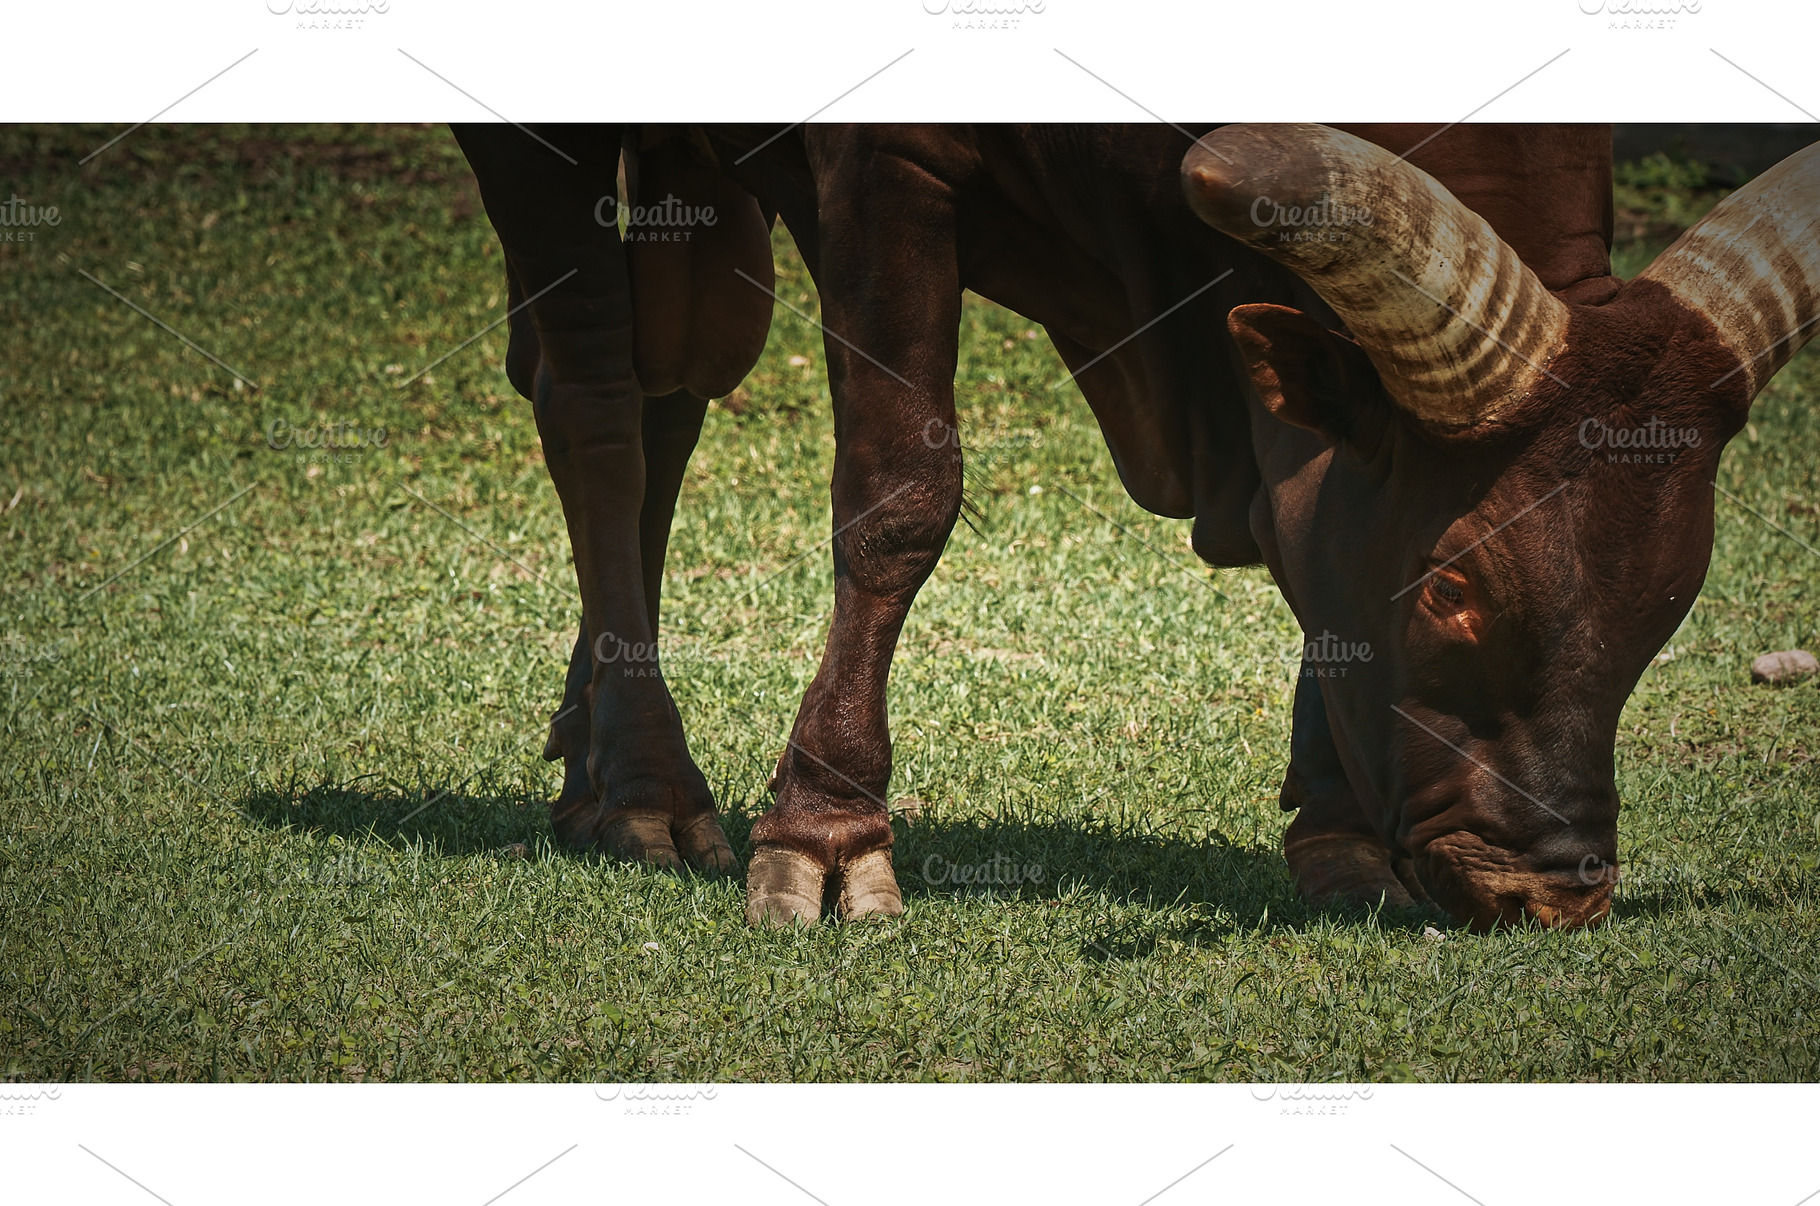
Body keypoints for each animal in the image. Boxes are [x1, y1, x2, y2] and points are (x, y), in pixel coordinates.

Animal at [454, 123, 1819, 930]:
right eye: (1449, 588)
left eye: (1673, 599)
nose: (1545, 886)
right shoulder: (883, 165)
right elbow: (899, 496)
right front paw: (826, 831)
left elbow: (1296, 519)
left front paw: (1333, 836)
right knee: (594, 395)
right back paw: (644, 787)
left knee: (667, 386)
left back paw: (591, 756)